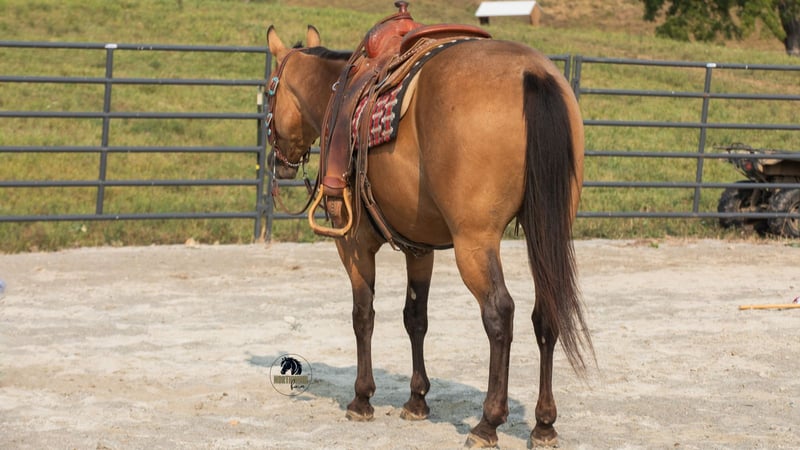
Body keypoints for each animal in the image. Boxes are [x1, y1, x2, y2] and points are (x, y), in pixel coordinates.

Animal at [266, 17, 593, 448]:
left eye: (269, 91)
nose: (278, 161)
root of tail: (532, 74)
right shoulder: (419, 249)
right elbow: (415, 317)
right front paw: (417, 400)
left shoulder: (353, 244)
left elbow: (363, 315)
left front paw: (362, 398)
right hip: (545, 232)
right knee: (546, 313)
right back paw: (543, 423)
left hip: (475, 243)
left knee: (499, 314)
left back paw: (488, 422)